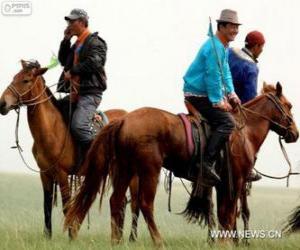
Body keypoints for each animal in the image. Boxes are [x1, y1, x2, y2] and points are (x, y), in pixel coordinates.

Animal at [0, 59, 135, 239]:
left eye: (26, 80)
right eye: (14, 77)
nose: (2, 103)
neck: (52, 129)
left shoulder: (62, 175)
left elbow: (67, 207)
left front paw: (71, 237)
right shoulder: (45, 174)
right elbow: (47, 207)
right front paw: (47, 237)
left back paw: (131, 238)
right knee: (123, 202)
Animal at [64, 82, 298, 246]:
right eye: (289, 105)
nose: (294, 133)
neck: (244, 131)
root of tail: (123, 120)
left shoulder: (223, 183)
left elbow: (224, 213)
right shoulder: (236, 181)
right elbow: (229, 213)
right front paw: (228, 242)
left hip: (124, 169)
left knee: (116, 201)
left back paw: (116, 241)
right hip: (149, 171)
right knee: (145, 204)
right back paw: (158, 241)